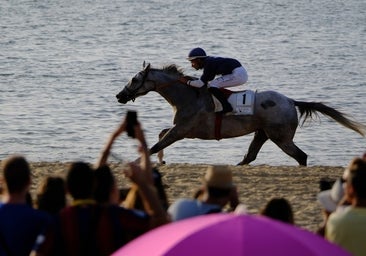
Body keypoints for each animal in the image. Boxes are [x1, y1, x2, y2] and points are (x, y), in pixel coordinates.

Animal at [116, 63, 364, 165]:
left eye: (135, 79)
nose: (120, 95)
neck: (188, 96)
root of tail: (290, 101)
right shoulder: (183, 130)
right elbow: (160, 135)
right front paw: (161, 160)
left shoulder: (182, 130)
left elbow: (156, 144)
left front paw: (140, 161)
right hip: (262, 134)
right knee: (249, 157)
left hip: (280, 137)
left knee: (300, 156)